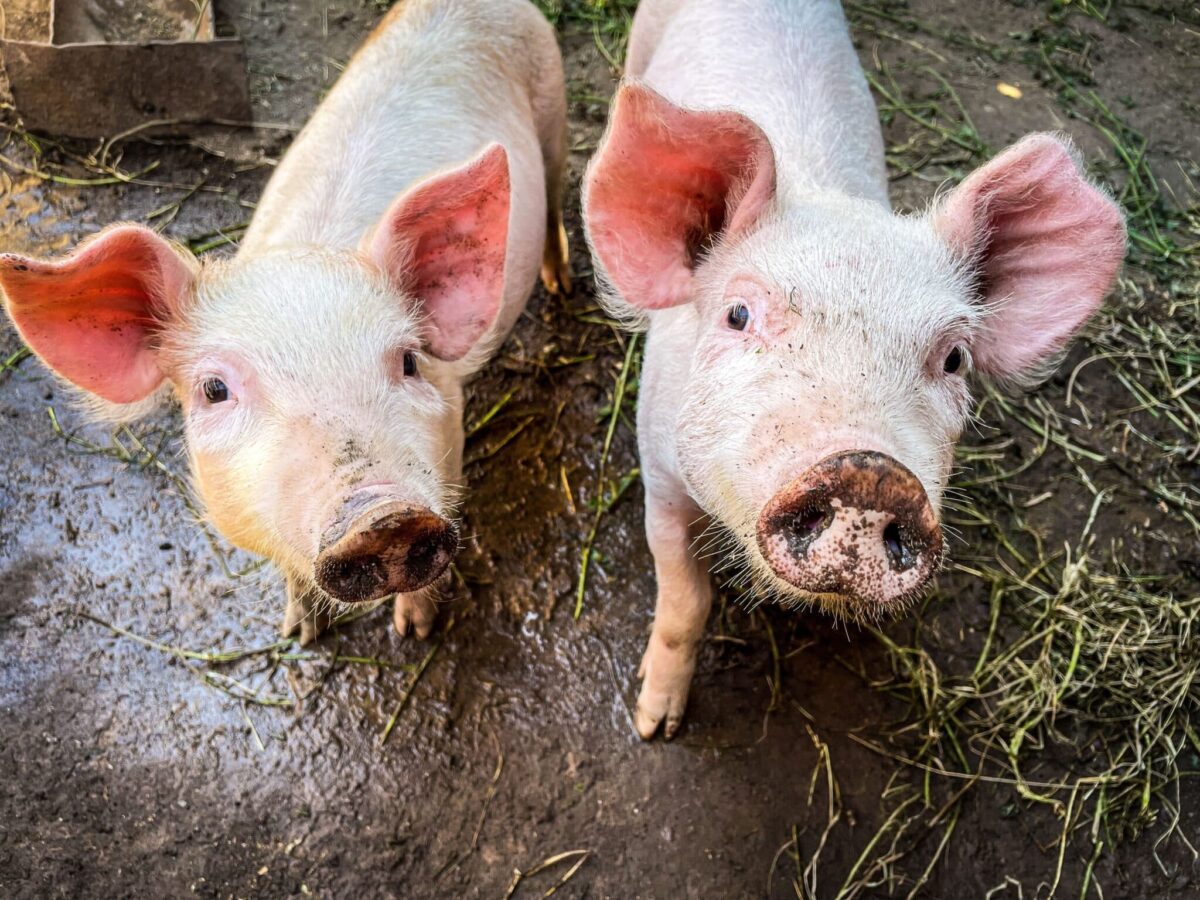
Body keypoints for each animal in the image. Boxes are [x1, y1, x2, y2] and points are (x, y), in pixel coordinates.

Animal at [0, 0, 570, 645]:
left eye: (409, 360)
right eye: (214, 389)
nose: (385, 517)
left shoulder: (448, 455)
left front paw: (415, 632)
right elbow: (292, 575)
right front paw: (298, 635)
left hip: (553, 103)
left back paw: (560, 281)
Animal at [582, 0, 1125, 739]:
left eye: (953, 357)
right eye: (738, 315)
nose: (869, 472)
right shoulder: (658, 471)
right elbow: (684, 599)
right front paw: (653, 724)